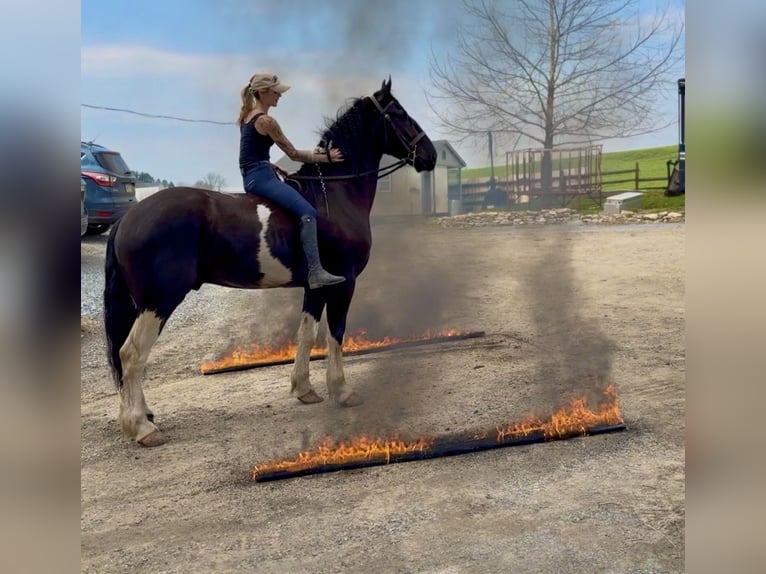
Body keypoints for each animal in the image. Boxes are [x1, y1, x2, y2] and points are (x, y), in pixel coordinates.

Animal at [103, 78, 437, 446]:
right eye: (399, 113)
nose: (431, 155)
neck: (333, 195)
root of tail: (128, 217)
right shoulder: (345, 283)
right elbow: (335, 333)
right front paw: (342, 391)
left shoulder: (316, 286)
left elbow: (306, 333)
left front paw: (305, 389)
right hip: (158, 301)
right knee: (132, 354)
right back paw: (142, 427)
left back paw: (144, 415)